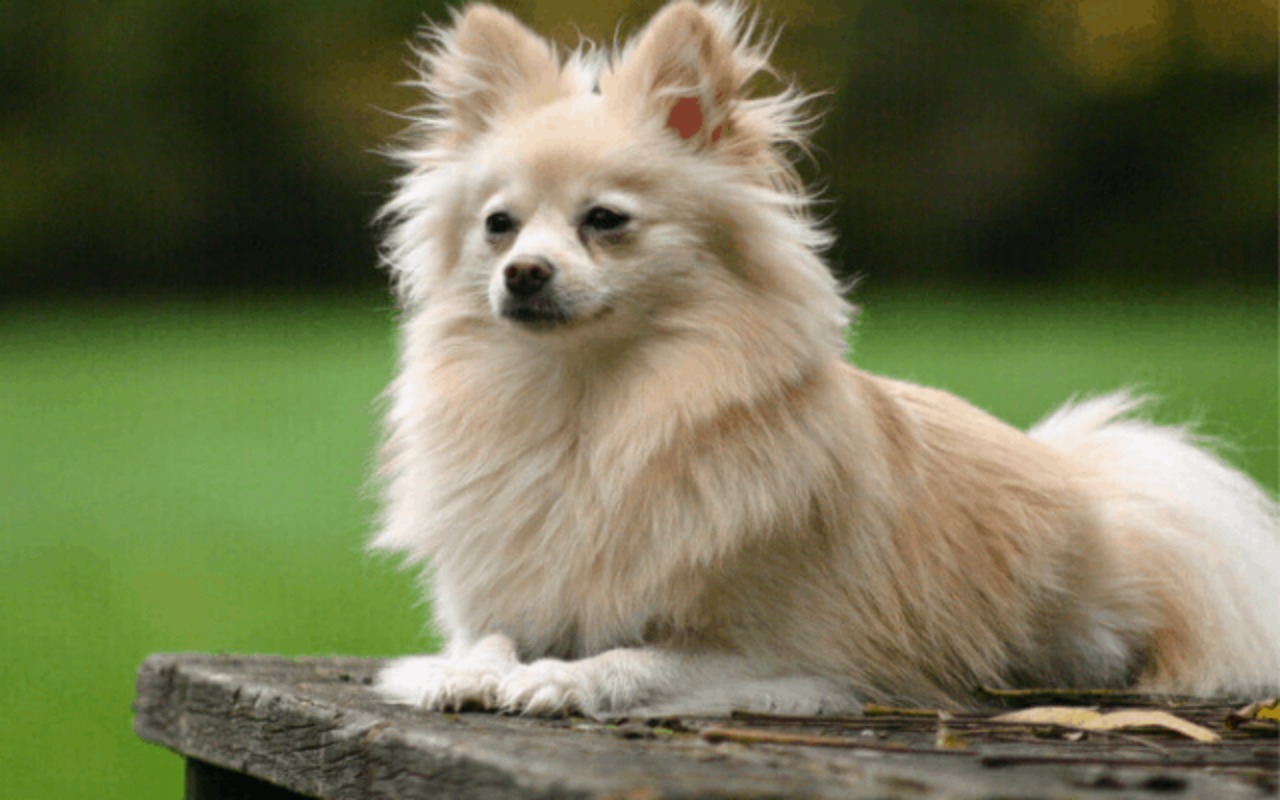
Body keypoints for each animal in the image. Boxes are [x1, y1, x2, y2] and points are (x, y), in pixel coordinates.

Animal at [371, 0, 1280, 711]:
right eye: (499, 226)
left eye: (605, 221)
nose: (523, 273)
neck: (589, 407)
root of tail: (1098, 485)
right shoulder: (501, 600)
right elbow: (486, 639)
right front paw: (469, 673)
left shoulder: (779, 653)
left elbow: (643, 659)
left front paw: (566, 678)